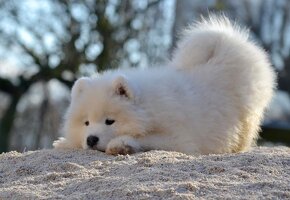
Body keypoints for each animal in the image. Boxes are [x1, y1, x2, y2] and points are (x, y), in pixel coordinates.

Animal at [52, 16, 276, 156]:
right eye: (86, 123)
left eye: (110, 121)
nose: (91, 139)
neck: (148, 109)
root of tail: (229, 43)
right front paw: (64, 142)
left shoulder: (178, 139)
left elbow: (146, 139)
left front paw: (121, 144)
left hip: (246, 117)